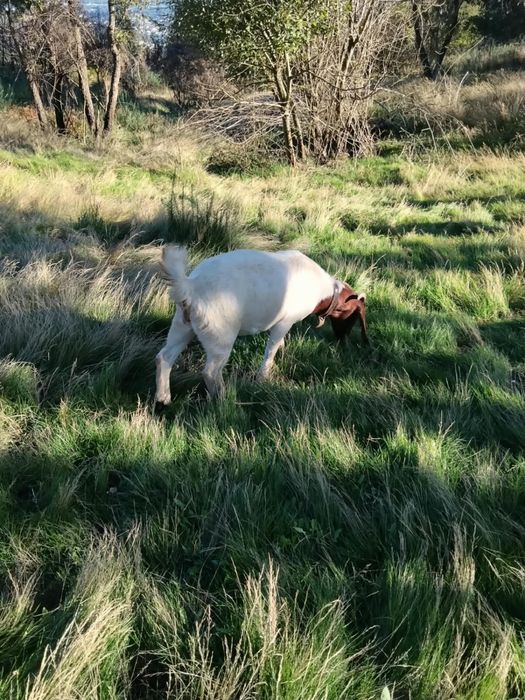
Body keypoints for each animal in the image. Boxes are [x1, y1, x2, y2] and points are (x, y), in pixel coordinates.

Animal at [156, 247, 368, 401]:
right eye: (352, 317)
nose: (343, 341)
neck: (325, 291)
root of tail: (191, 287)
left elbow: (278, 344)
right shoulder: (285, 321)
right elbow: (271, 349)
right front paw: (263, 377)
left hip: (182, 325)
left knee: (164, 357)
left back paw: (163, 398)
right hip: (220, 335)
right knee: (210, 372)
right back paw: (224, 399)